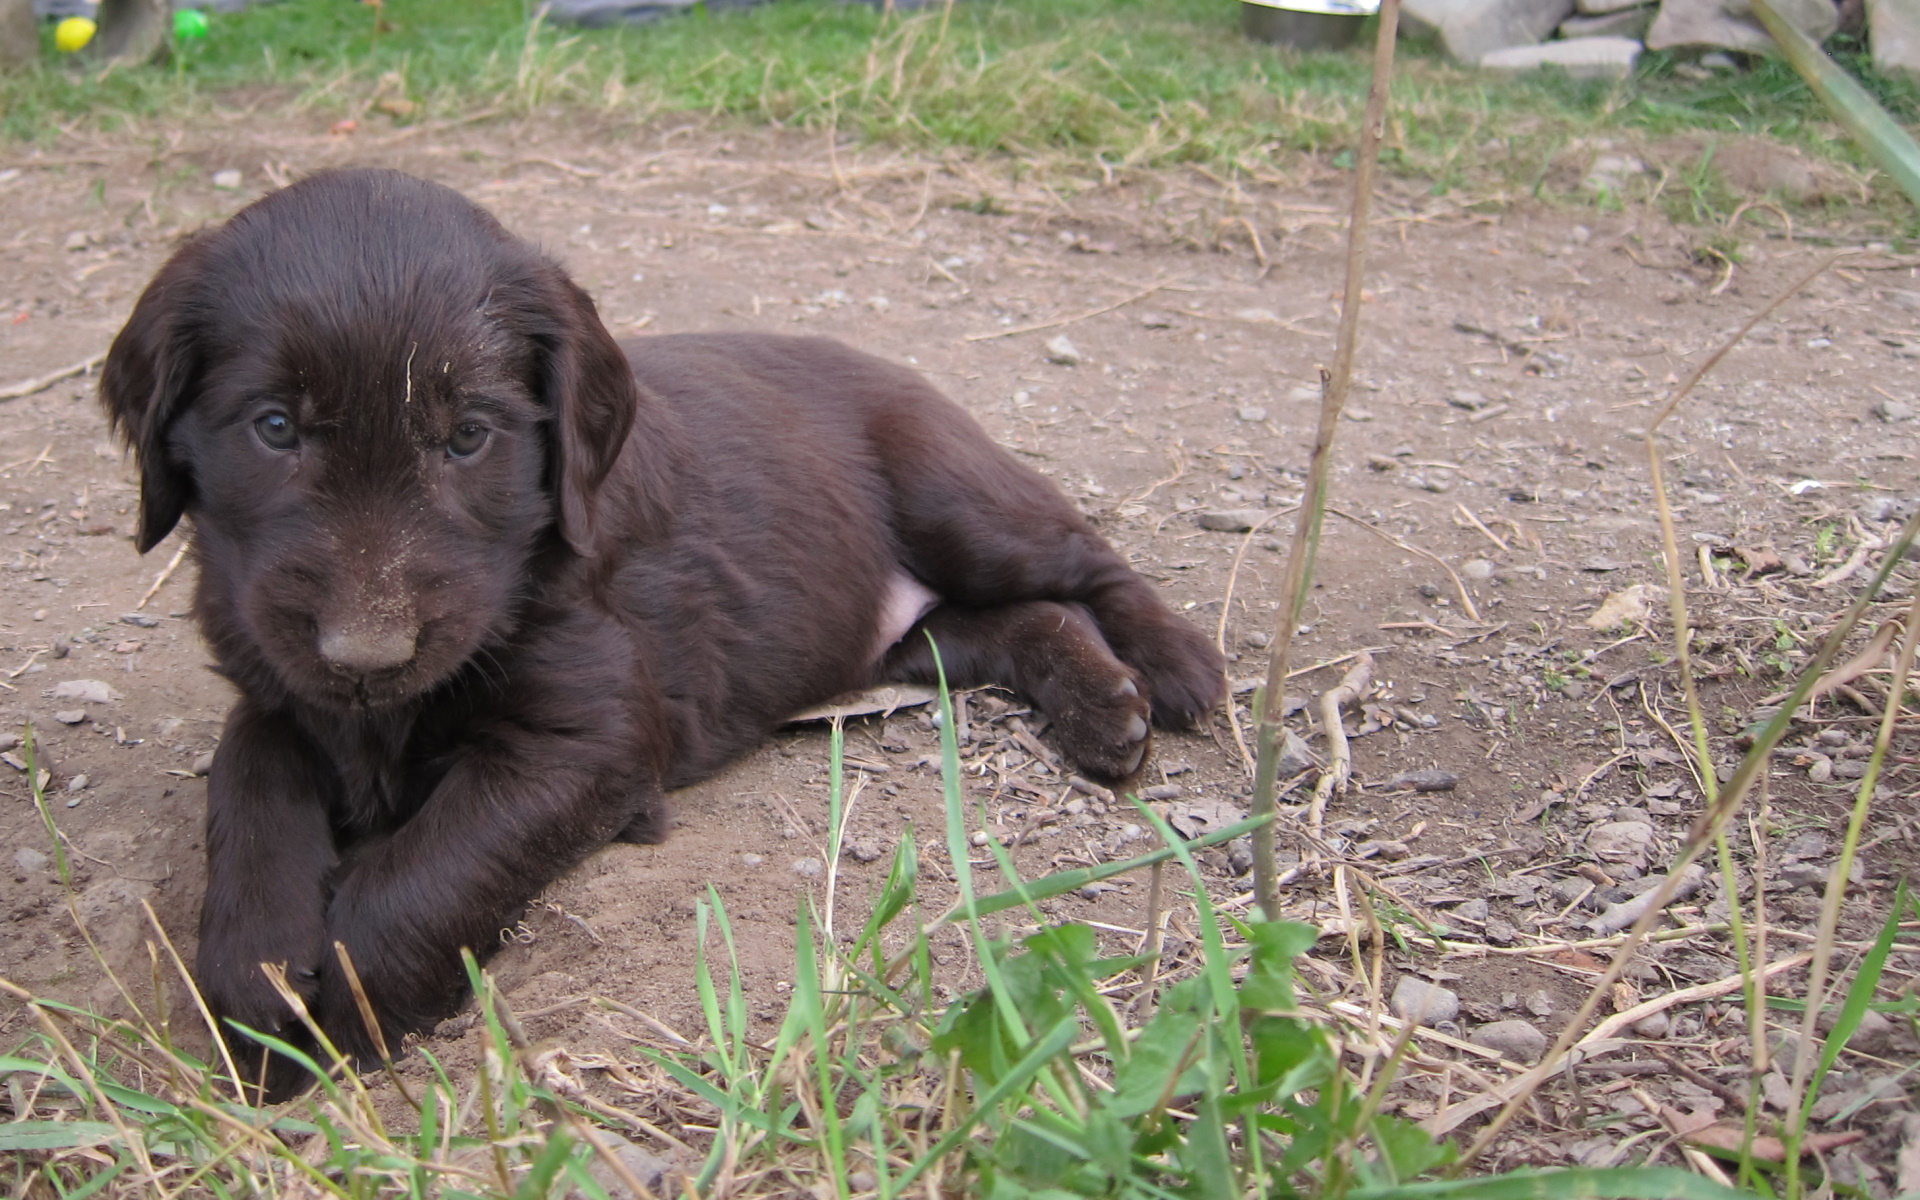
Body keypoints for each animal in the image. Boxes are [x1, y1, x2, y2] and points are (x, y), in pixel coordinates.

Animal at [100, 168, 1225, 1091]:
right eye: (273, 428)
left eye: (468, 437)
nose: (367, 658)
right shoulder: (276, 686)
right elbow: (246, 778)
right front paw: (256, 972)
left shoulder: (585, 740)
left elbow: (422, 876)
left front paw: (349, 1008)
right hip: (909, 634)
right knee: (1026, 616)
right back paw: (1102, 704)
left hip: (951, 492)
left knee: (1086, 562)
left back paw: (1167, 674)